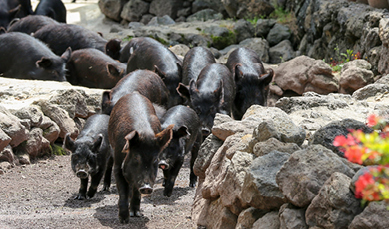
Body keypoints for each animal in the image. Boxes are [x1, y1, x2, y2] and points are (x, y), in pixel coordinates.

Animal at [107, 92, 172, 223]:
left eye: (155, 159)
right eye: (136, 157)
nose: (146, 187)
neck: (144, 133)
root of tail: (134, 93)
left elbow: (136, 190)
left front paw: (136, 214)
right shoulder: (118, 164)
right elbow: (123, 190)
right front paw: (123, 220)